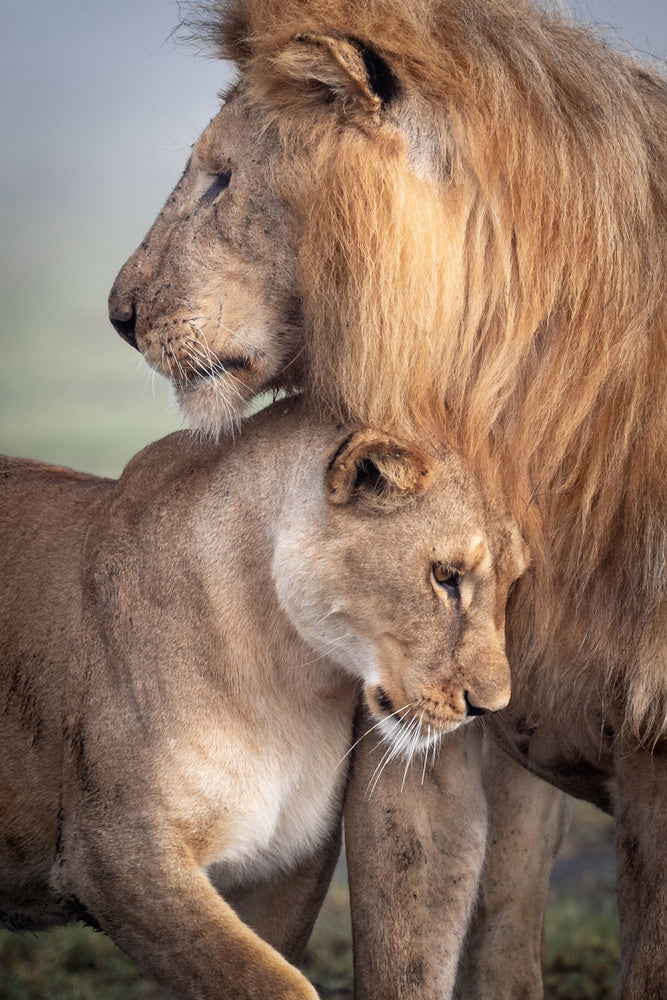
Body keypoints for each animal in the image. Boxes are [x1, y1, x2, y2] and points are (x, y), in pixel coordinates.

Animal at [0, 397, 527, 999]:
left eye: (513, 584)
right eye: (445, 575)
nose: (491, 706)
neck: (289, 677)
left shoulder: (284, 867)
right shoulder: (117, 854)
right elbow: (277, 984)